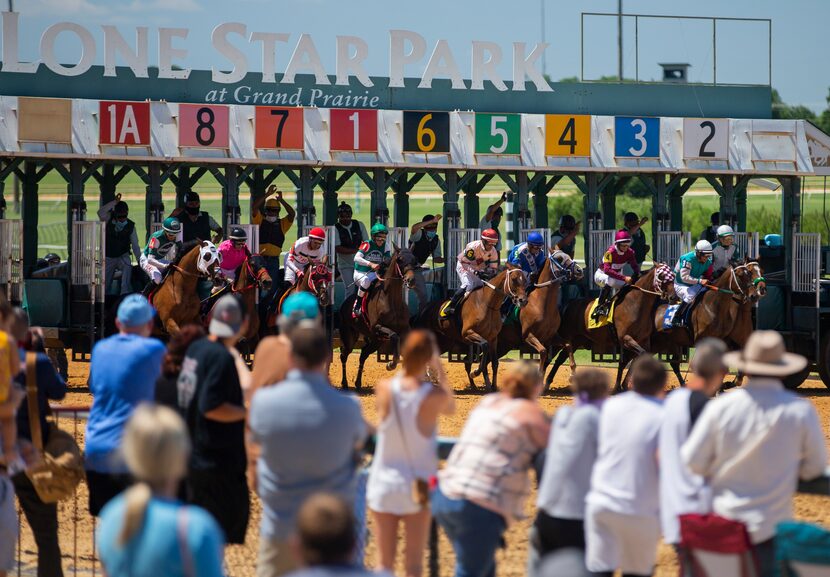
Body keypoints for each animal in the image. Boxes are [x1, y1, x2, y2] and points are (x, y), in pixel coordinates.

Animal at [338, 245, 420, 390]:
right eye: (400, 259)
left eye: (414, 259)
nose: (411, 280)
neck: (392, 300)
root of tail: (344, 303)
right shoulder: (377, 327)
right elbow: (394, 335)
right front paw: (391, 364)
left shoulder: (405, 329)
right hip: (350, 336)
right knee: (344, 355)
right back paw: (345, 383)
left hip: (376, 341)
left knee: (363, 354)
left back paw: (358, 383)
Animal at [548, 266, 680, 392]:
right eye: (662, 276)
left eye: (673, 276)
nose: (674, 297)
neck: (635, 304)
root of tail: (569, 303)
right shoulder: (625, 338)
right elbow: (636, 356)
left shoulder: (644, 341)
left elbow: (636, 357)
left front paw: (623, 385)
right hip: (565, 335)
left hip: (577, 340)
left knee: (560, 358)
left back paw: (548, 382)